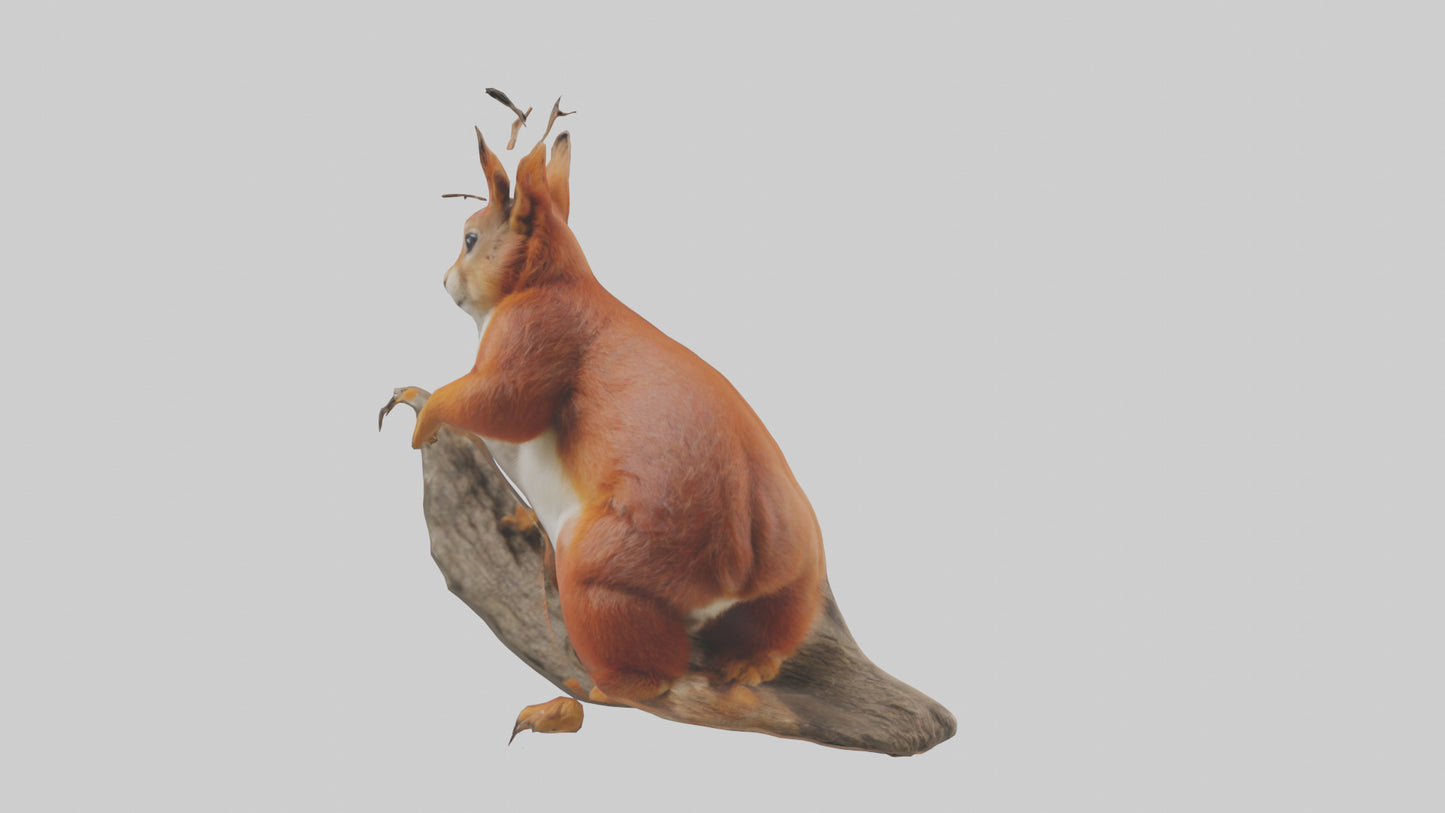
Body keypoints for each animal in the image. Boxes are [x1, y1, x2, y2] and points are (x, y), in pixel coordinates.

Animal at [410, 128, 825, 703]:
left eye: (470, 239)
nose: (445, 279)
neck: (551, 280)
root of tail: (738, 567)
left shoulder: (535, 332)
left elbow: (502, 405)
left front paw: (422, 414)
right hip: (800, 569)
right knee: (778, 622)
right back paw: (749, 664)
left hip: (603, 570)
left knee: (651, 663)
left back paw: (610, 685)